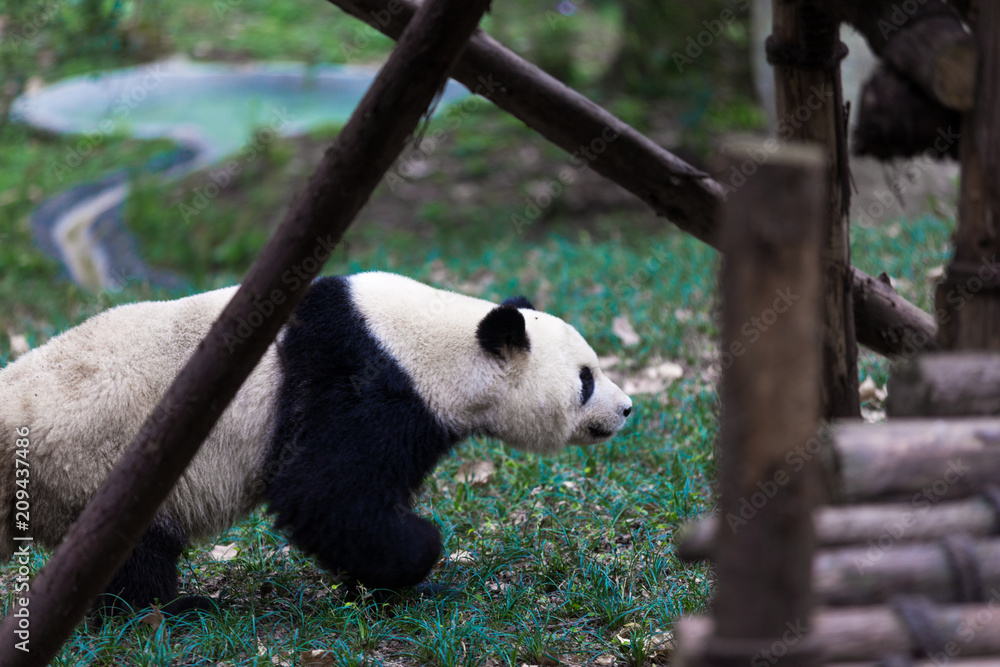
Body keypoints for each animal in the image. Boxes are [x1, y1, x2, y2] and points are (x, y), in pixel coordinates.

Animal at [0, 271, 632, 615]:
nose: (627, 408)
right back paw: (173, 611)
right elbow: (321, 491)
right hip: (95, 466)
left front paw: (370, 581)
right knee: (132, 554)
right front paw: (416, 559)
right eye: (586, 379)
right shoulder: (359, 379)